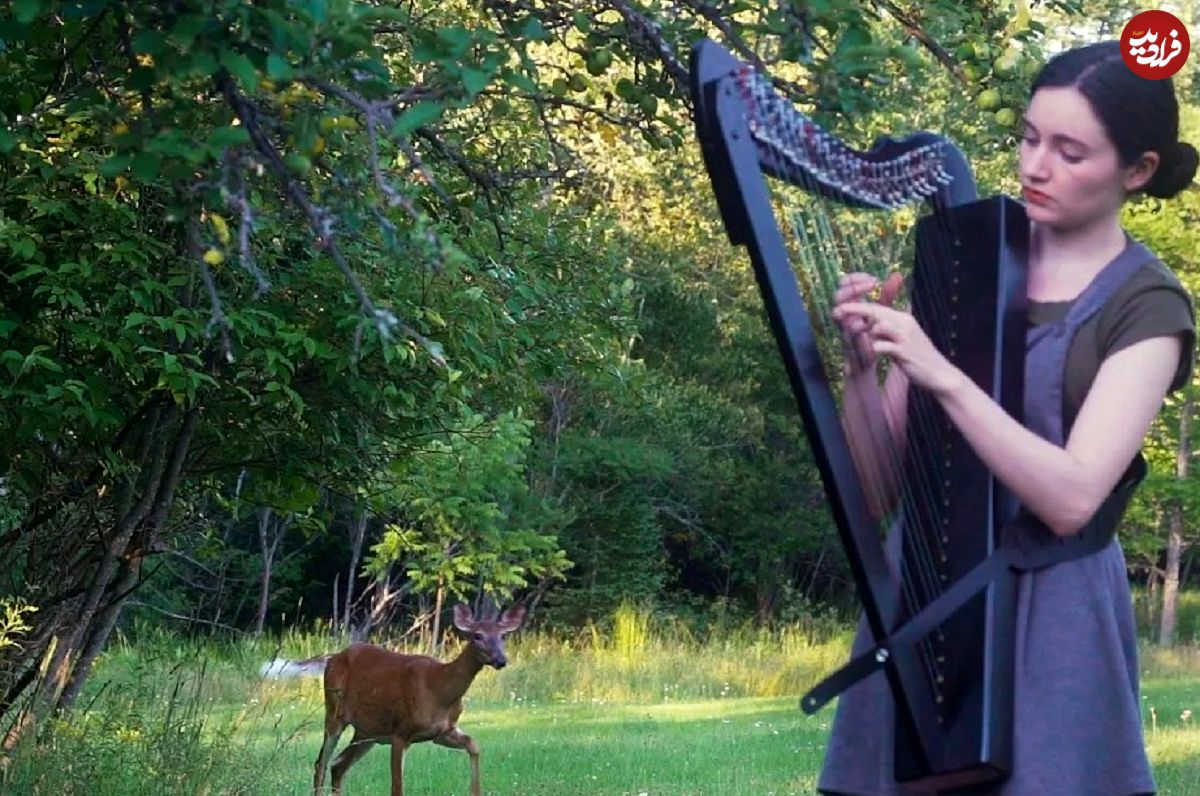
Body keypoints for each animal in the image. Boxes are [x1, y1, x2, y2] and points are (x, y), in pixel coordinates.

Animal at [312, 605, 528, 796]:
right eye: (477, 636)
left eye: (503, 635)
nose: (501, 660)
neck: (439, 691)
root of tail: (332, 658)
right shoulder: (401, 731)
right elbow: (397, 789)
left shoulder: (442, 732)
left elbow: (474, 746)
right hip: (334, 712)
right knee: (321, 763)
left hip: (367, 732)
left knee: (338, 765)